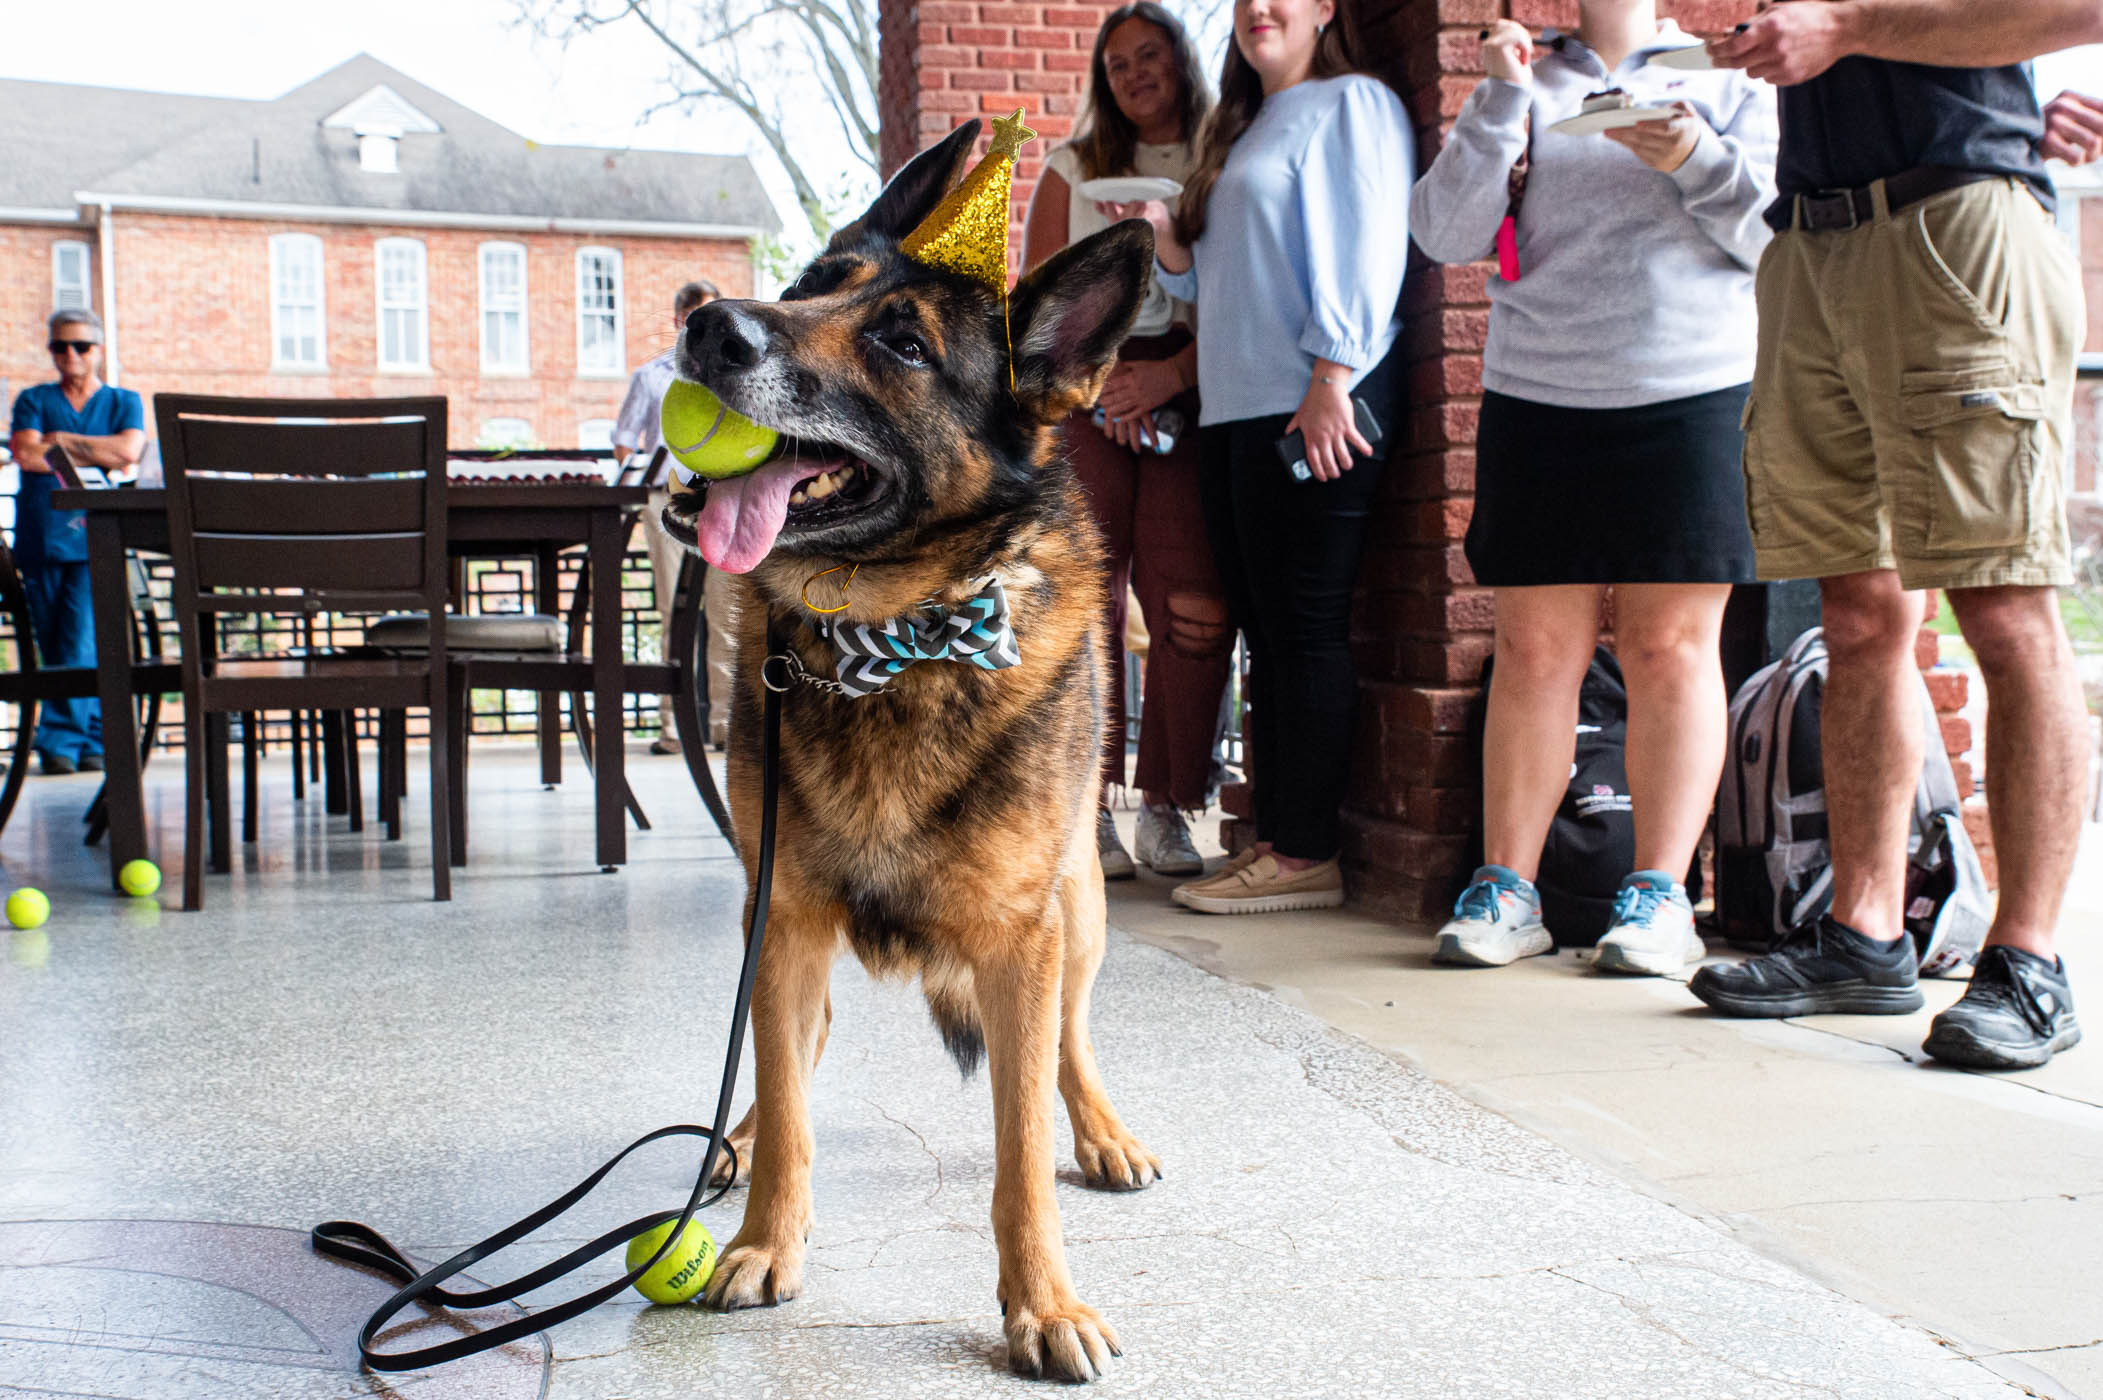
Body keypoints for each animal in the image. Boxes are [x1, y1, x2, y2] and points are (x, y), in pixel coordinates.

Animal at [656, 122, 1160, 1387]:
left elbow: (1022, 1151)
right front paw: (766, 1238)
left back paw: (1104, 1129)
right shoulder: (781, 914)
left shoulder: (1024, 941)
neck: (892, 640)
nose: (709, 322)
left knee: (1072, 1039)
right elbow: (789, 1098)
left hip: (1080, 906)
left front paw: (1043, 1302)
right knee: (791, 1054)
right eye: (807, 283)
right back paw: (734, 1138)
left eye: (902, 343)